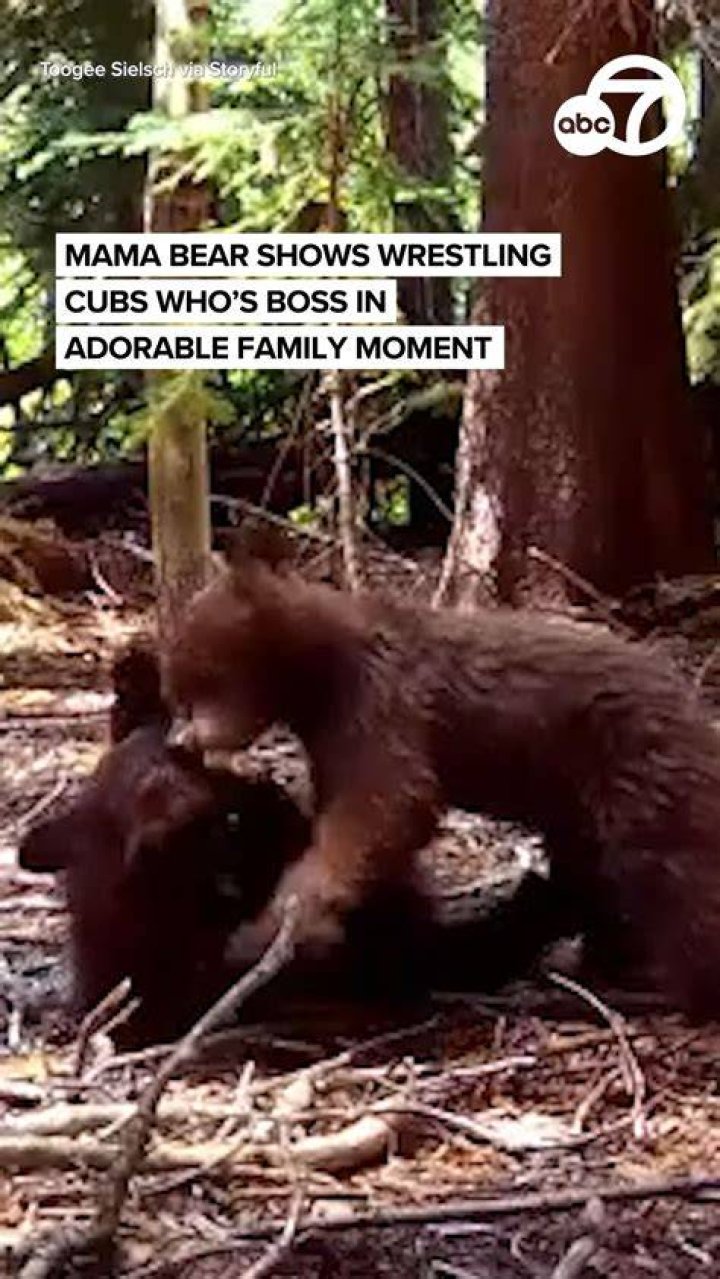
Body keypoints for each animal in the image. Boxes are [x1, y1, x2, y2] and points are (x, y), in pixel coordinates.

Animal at [163, 529, 720, 1019]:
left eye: (204, 682)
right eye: (178, 692)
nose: (180, 741)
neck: (323, 670)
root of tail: (696, 710)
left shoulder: (382, 702)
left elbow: (386, 804)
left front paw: (280, 923)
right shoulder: (331, 738)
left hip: (637, 766)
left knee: (671, 871)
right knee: (597, 871)